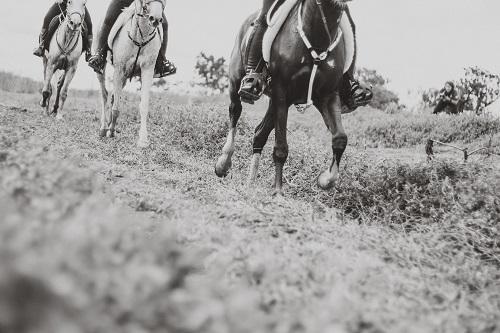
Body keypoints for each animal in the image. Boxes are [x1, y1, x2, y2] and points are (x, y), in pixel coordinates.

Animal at [97, 0, 166, 148]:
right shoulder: (119, 69)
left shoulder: (147, 70)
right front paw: (111, 132)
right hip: (104, 71)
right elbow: (116, 107)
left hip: (125, 76)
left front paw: (143, 139)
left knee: (112, 96)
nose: (156, 19)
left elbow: (143, 105)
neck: (141, 36)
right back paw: (104, 128)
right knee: (105, 95)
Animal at [217, 0, 354, 195]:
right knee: (235, 113)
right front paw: (278, 192)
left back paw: (250, 183)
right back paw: (223, 163)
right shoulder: (282, 93)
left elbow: (340, 139)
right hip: (236, 81)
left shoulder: (327, 95)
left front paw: (326, 179)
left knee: (259, 134)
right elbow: (280, 147)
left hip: (275, 102)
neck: (318, 36)